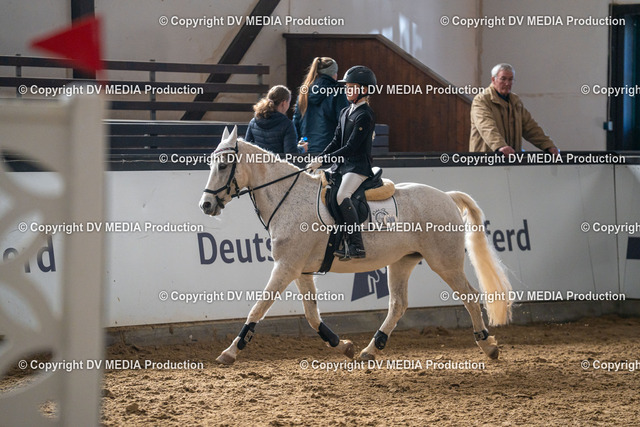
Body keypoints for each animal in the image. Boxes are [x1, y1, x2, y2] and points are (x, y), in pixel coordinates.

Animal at [199, 126, 512, 365]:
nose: (206, 205)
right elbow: (312, 316)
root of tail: (447, 196)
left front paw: (230, 352)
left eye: (223, 165)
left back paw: (488, 346)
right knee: (398, 305)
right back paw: (370, 349)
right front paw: (343, 345)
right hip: (402, 261)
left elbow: (258, 307)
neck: (286, 197)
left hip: (445, 263)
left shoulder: (286, 267)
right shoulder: (300, 270)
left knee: (470, 297)